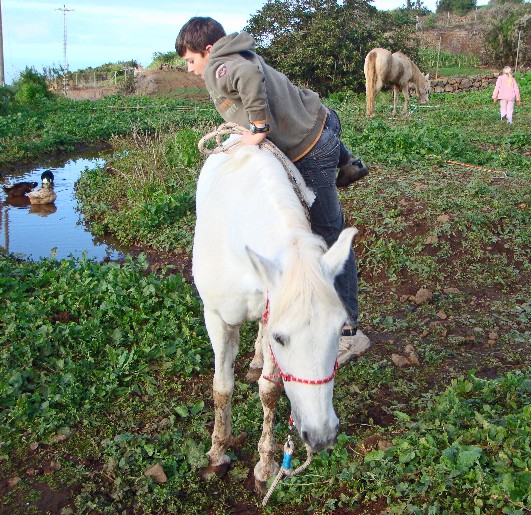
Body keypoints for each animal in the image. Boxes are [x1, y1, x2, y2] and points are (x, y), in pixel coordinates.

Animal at [193, 140, 360, 492]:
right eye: (281, 338)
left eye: (340, 329)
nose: (322, 435)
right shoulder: (216, 318)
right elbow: (222, 387)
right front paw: (217, 454)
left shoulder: (269, 311)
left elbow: (269, 393)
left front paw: (266, 466)